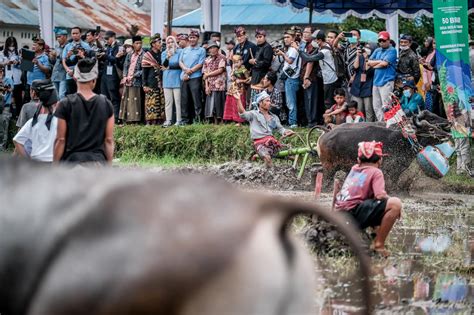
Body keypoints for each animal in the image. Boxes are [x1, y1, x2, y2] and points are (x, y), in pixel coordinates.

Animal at [316, 111, 450, 190]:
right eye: (430, 128)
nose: (447, 134)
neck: (400, 141)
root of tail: (325, 134)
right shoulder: (387, 170)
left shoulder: (397, 171)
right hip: (329, 168)